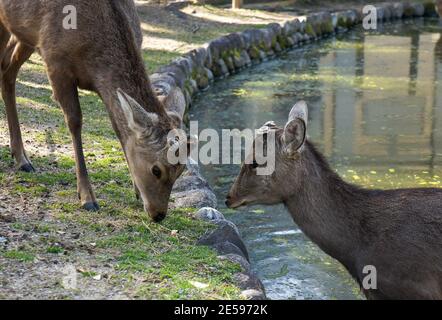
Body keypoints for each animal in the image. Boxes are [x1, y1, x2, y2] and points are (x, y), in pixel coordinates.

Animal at [0, 0, 188, 221]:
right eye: (156, 170)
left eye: (181, 170)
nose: (158, 214)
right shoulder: (56, 62)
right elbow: (75, 121)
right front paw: (87, 197)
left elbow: (119, 129)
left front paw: (135, 190)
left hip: (24, 34)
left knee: (7, 69)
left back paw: (21, 158)